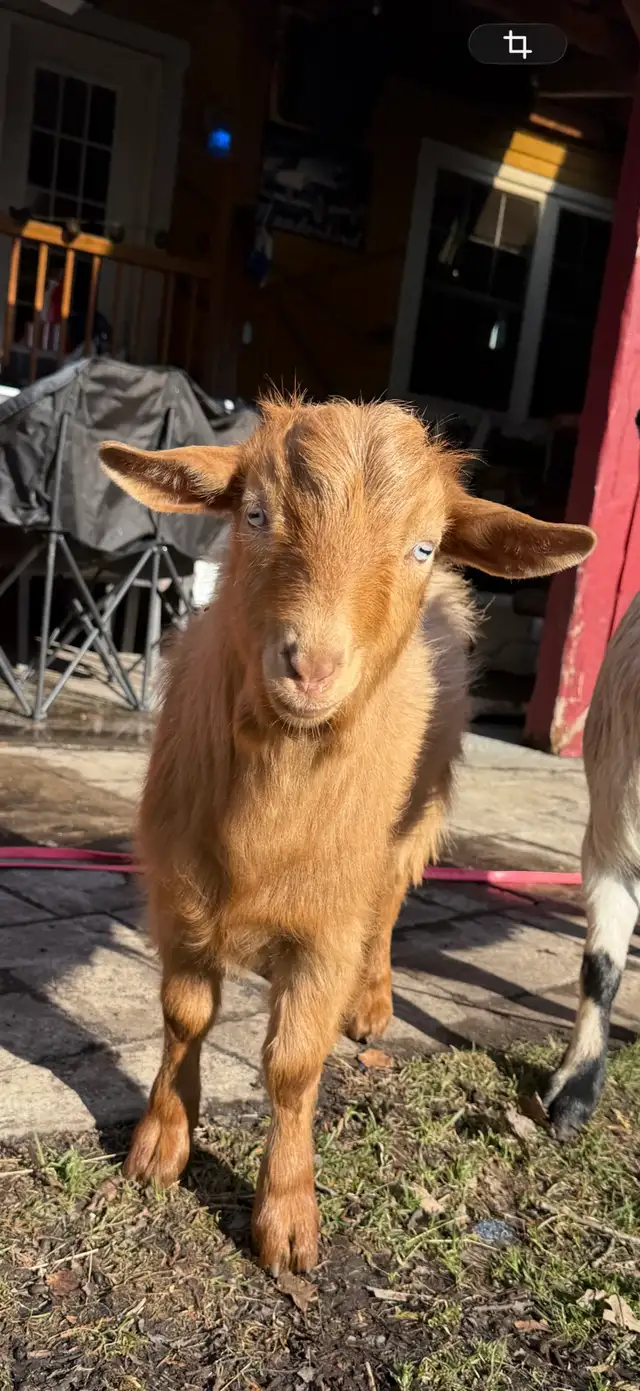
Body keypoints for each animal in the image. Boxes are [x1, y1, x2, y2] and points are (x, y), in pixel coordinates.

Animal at [100, 396, 595, 1273]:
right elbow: (184, 1016)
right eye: (255, 513)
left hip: (415, 819)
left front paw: (287, 1215)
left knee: (389, 904)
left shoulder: (326, 927)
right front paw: (161, 1143)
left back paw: (372, 1000)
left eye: (423, 545)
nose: (311, 665)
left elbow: (295, 1064)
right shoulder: (178, 894)